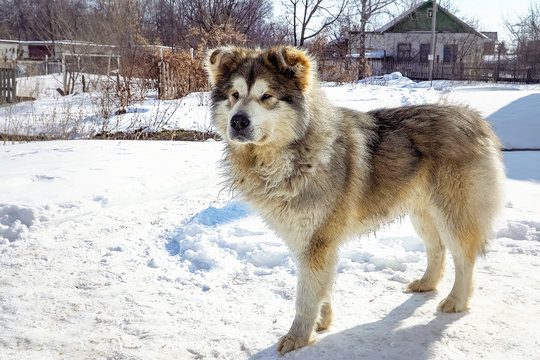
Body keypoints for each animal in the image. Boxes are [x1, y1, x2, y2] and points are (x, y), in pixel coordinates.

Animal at [204, 45, 506, 354]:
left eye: (266, 97)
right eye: (234, 95)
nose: (238, 121)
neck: (289, 156)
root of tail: (473, 117)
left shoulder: (317, 240)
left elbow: (306, 295)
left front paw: (298, 337)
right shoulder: (307, 239)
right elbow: (321, 287)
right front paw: (322, 321)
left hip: (453, 214)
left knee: (464, 257)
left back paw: (456, 300)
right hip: (422, 213)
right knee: (437, 249)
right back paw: (426, 283)